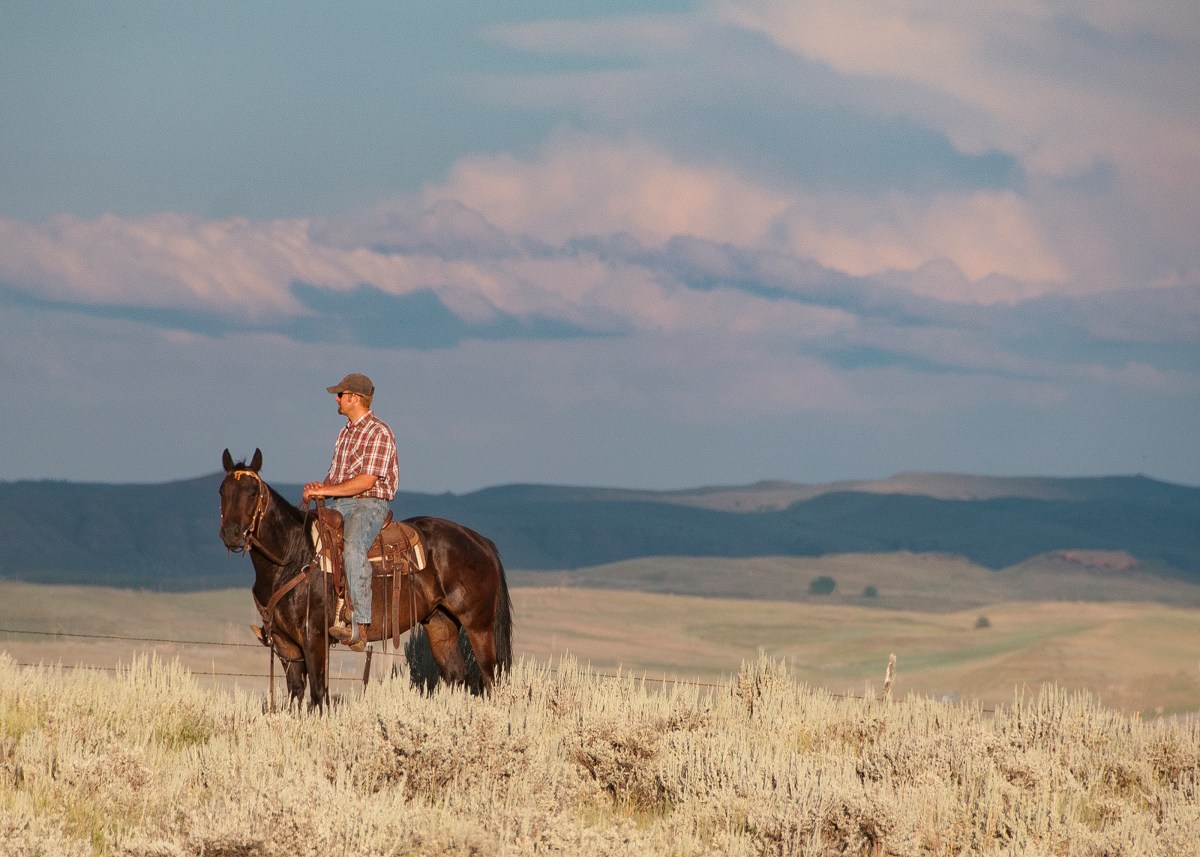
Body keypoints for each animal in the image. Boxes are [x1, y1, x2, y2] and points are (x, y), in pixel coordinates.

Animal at [218, 448, 513, 707]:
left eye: (252, 492)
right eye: (222, 491)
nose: (231, 533)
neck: (292, 557)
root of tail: (480, 540)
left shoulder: (315, 637)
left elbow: (318, 694)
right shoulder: (285, 644)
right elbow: (295, 694)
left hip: (478, 624)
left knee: (490, 678)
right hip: (441, 625)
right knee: (457, 678)